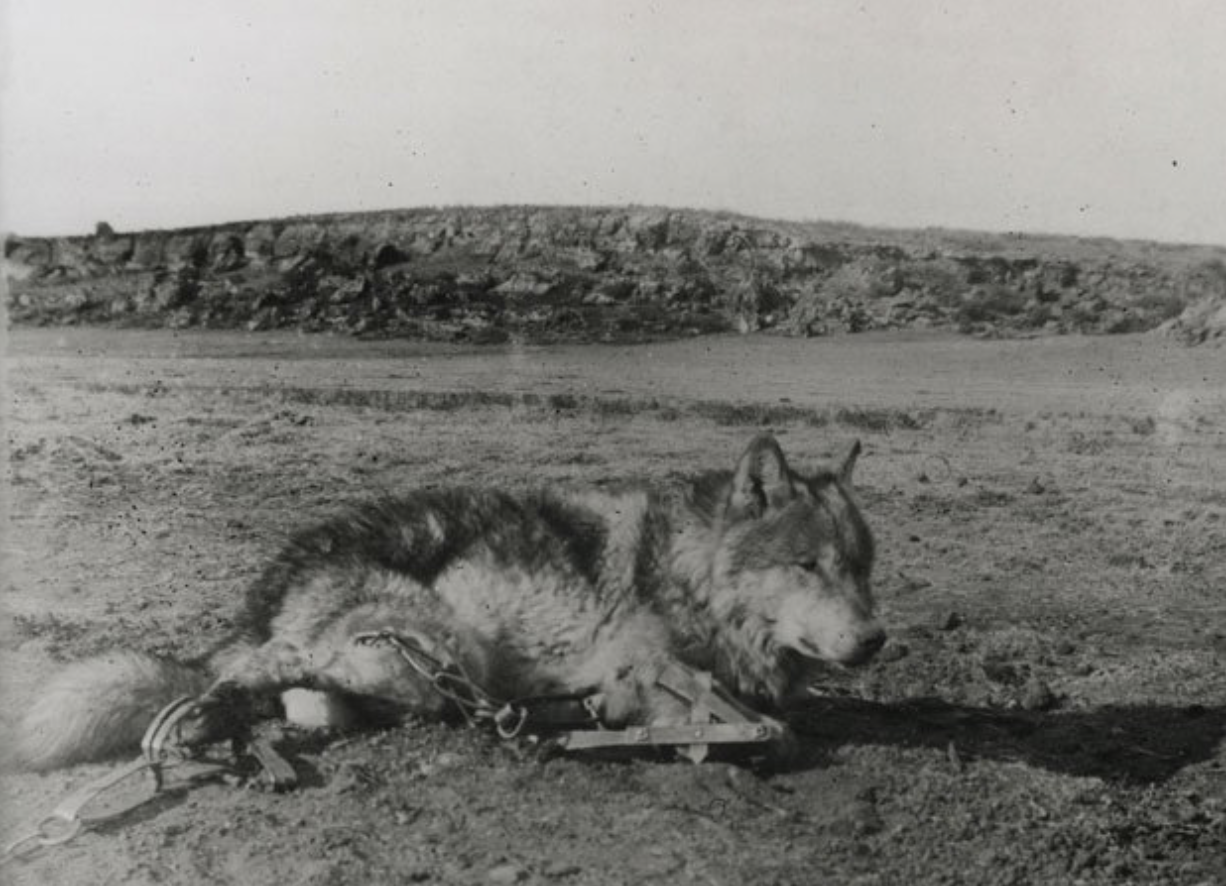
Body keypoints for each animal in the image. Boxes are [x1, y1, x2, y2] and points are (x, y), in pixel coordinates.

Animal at [15, 434, 884, 770]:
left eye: (863, 567)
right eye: (808, 566)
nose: (877, 641)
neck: (686, 569)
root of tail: (271, 586)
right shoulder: (640, 665)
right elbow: (742, 718)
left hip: (416, 670)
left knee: (306, 699)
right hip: (426, 648)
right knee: (269, 672)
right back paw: (205, 710)